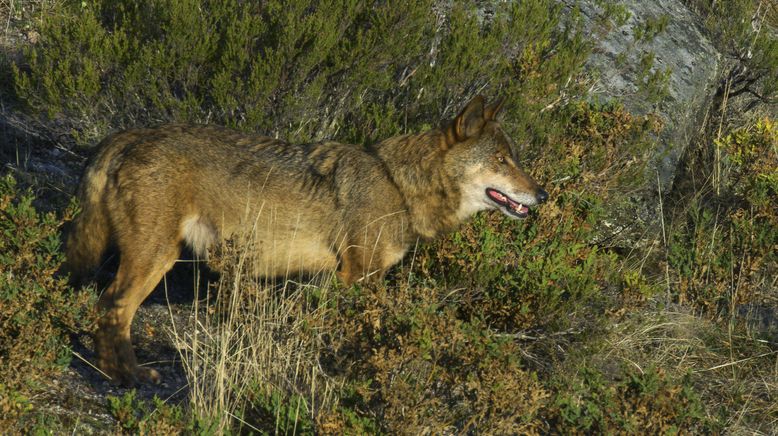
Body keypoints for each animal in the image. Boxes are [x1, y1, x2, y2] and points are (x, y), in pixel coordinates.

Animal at [66, 95, 548, 384]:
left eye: (513, 159)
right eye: (501, 161)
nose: (541, 195)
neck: (399, 187)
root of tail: (126, 136)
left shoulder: (327, 280)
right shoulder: (358, 277)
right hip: (156, 258)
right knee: (112, 308)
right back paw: (126, 376)